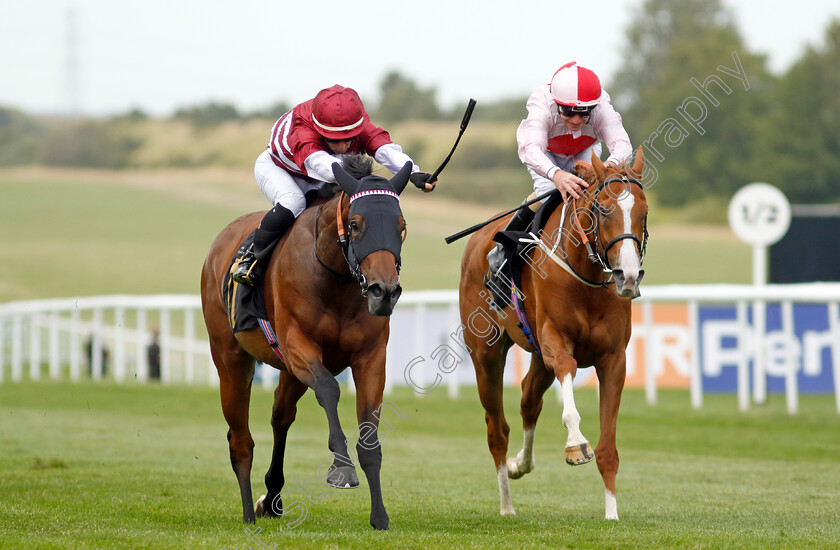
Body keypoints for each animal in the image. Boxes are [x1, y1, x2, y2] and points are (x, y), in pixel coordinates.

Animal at [203, 156, 414, 532]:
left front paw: (379, 516)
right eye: (356, 225)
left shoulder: (370, 357)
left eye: (400, 226)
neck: (337, 278)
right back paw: (248, 513)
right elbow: (329, 390)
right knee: (240, 440)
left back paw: (271, 497)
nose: (384, 291)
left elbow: (369, 435)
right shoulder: (299, 344)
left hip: (288, 371)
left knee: (280, 417)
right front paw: (342, 468)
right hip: (231, 361)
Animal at [460, 150, 648, 520]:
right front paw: (575, 444)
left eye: (644, 212)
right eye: (604, 208)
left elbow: (608, 448)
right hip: (486, 355)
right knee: (497, 430)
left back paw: (519, 464)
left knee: (529, 400)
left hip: (535, 357)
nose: (628, 276)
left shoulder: (613, 359)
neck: (586, 275)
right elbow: (568, 376)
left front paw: (612, 513)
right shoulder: (555, 344)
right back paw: (506, 504)